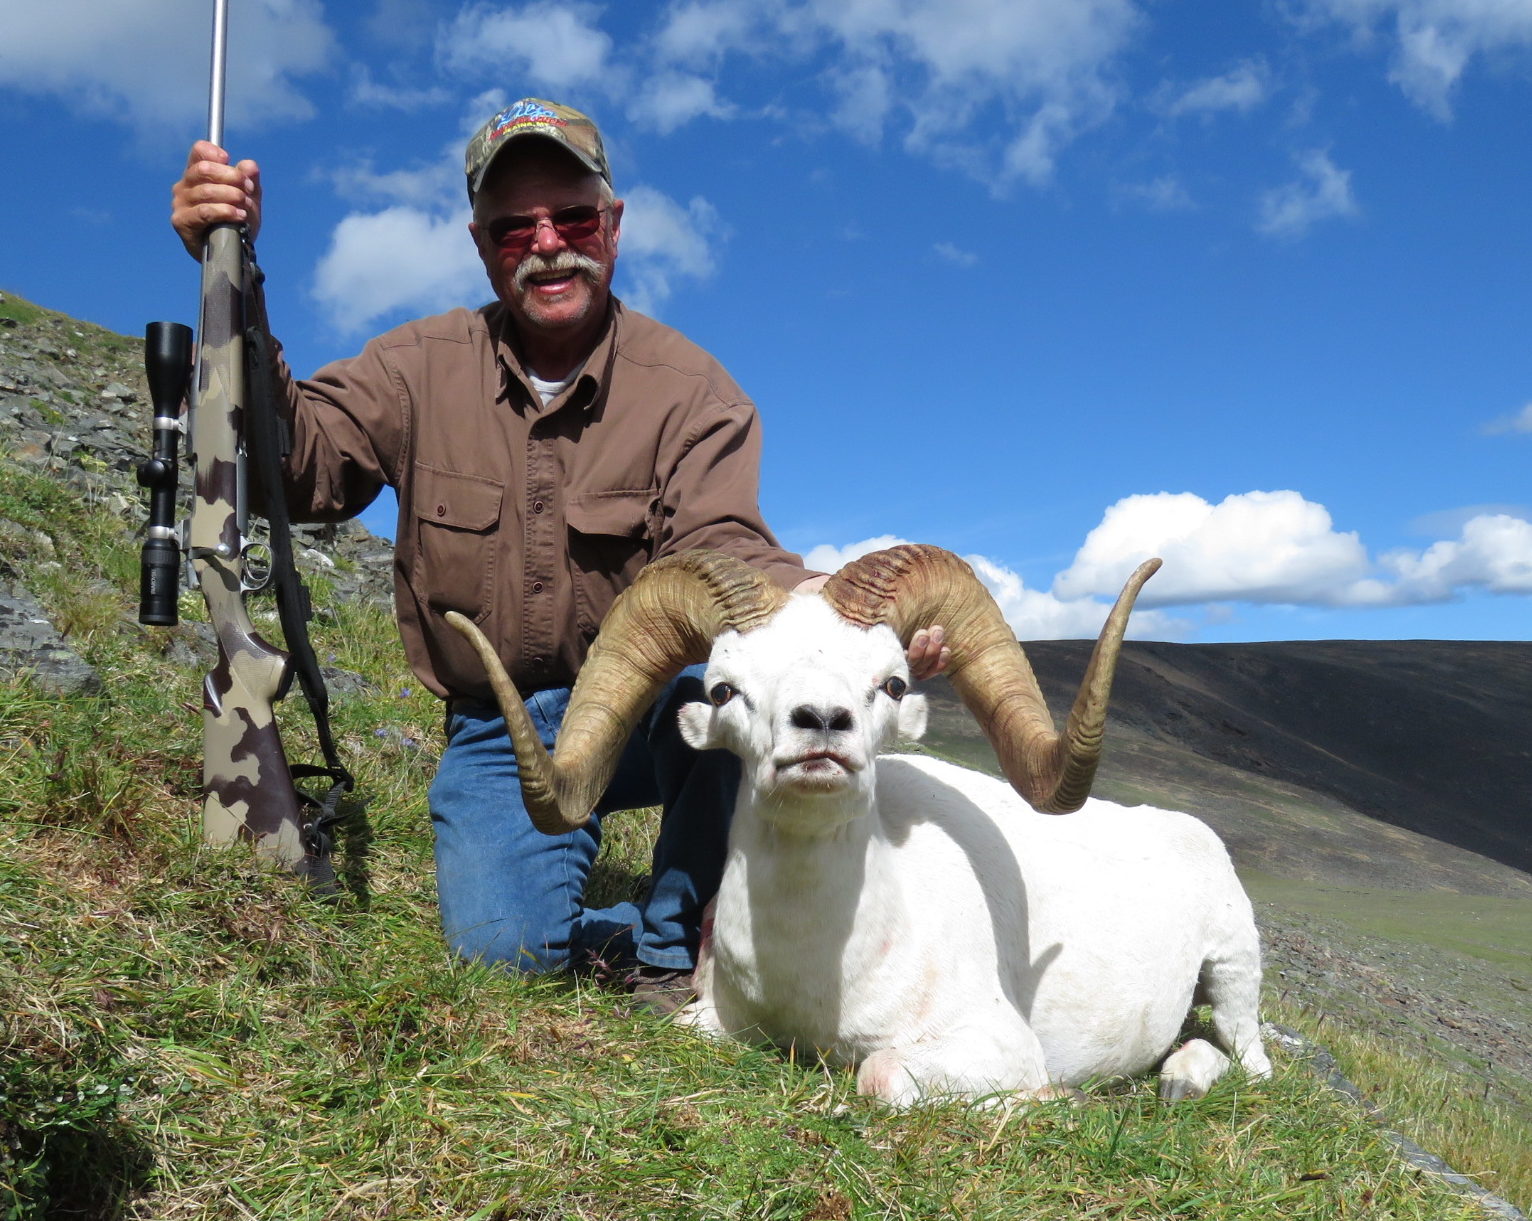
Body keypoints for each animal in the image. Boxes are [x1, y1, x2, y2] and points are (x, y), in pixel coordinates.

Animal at [448, 544, 1271, 1106]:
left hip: (1234, 970)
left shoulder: (993, 1046)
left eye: (893, 682)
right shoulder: (713, 1021)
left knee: (1249, 1059)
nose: (820, 723)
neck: (823, 966)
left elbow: (878, 1076)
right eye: (724, 689)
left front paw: (1051, 1101)